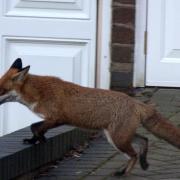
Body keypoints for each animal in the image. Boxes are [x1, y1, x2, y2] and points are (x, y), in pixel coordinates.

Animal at [0, 58, 180, 176]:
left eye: (2, 90)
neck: (38, 92)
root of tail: (137, 102)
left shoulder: (57, 118)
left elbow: (34, 127)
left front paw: (39, 138)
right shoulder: (52, 120)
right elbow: (36, 128)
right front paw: (34, 140)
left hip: (118, 139)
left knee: (134, 154)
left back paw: (123, 173)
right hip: (119, 136)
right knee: (144, 140)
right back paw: (143, 163)